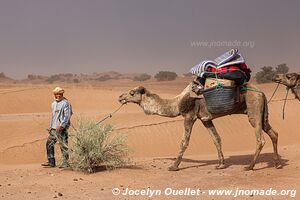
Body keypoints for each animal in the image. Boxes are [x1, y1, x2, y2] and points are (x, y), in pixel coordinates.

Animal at [118, 82, 282, 171]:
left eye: (131, 92)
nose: (120, 97)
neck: (176, 104)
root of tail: (261, 92)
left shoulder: (189, 116)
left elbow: (184, 142)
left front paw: (174, 166)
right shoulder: (205, 119)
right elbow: (216, 139)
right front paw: (220, 165)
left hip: (254, 107)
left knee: (260, 138)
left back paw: (250, 166)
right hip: (262, 112)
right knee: (273, 133)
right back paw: (278, 164)